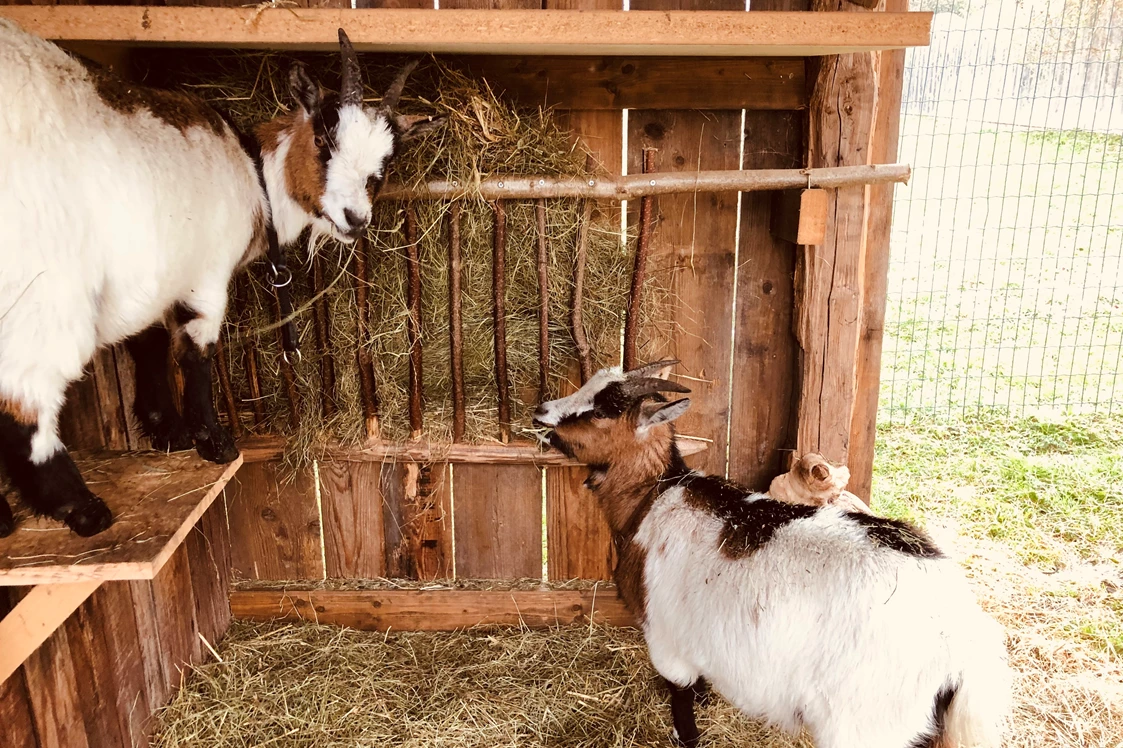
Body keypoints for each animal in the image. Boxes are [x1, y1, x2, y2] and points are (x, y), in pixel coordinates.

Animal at [0, 20, 435, 532]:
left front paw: (167, 429)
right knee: (26, 401)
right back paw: (80, 506)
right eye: (324, 141)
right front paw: (212, 439)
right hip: (44, 295)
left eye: (385, 164)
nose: (355, 218)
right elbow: (196, 353)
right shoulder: (202, 275)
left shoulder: (156, 276)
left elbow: (148, 344)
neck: (253, 175)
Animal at [530, 359, 1015, 745]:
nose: (540, 411)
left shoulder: (664, 639)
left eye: (602, 408)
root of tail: (964, 639)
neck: (653, 497)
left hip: (864, 723)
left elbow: (682, 702)